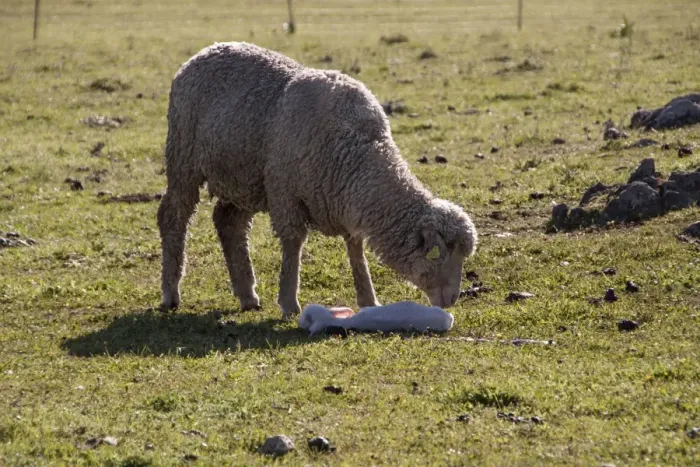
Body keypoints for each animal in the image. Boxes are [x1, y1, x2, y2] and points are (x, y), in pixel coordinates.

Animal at [158, 42, 477, 318]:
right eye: (439, 254)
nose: (452, 299)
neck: (356, 152)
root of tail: (206, 50)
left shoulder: (342, 198)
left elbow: (355, 246)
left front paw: (368, 299)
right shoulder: (285, 192)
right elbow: (293, 243)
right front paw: (289, 302)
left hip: (243, 177)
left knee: (228, 223)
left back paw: (247, 295)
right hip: (184, 158)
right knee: (173, 216)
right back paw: (171, 293)